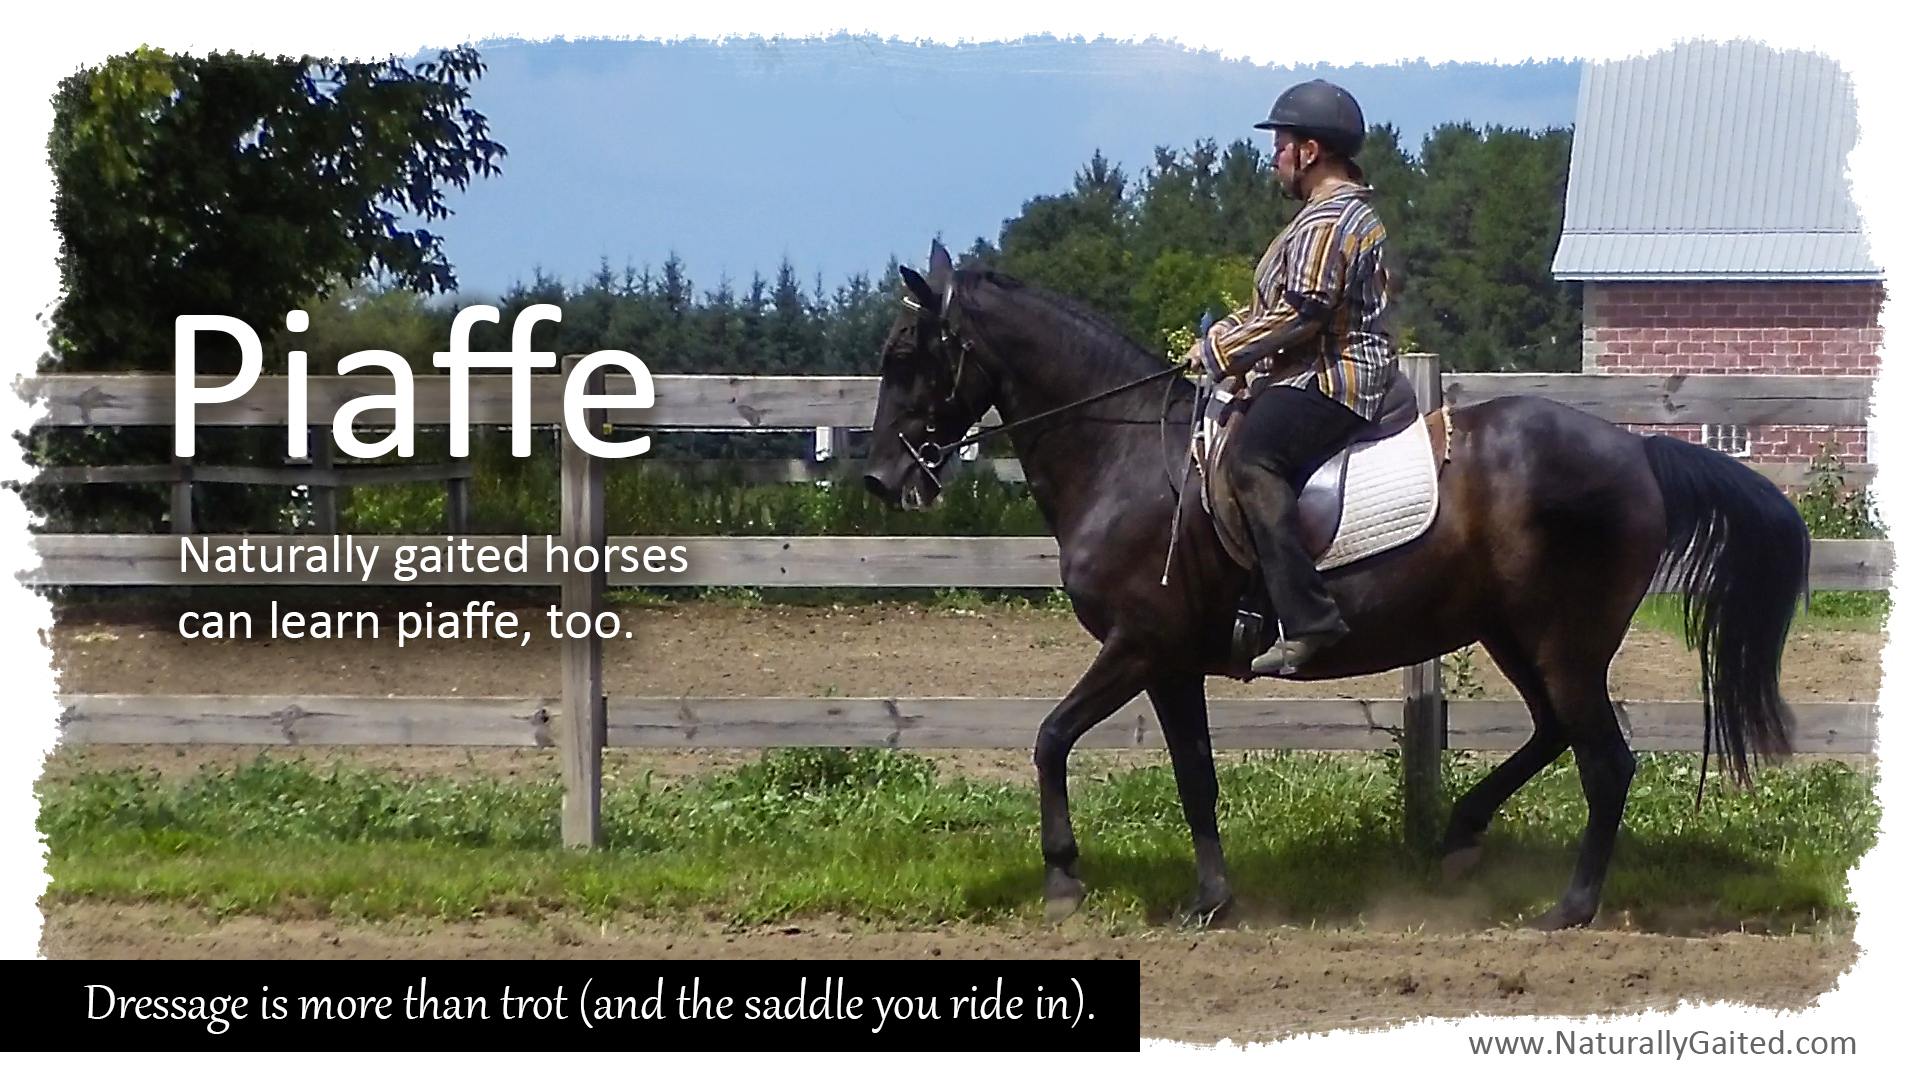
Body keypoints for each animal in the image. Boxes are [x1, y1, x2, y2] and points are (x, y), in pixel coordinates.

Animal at [862, 242, 1809, 930]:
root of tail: (1638, 451)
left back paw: (1569, 909)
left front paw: (1063, 879)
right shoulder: (1171, 664)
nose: (881, 480)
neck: (1126, 456)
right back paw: (1461, 836)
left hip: (1562, 639)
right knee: (1552, 733)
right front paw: (1211, 901)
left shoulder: (1138, 646)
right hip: (1513, 632)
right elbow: (1194, 776)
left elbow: (1051, 737)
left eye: (908, 354)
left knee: (1605, 762)